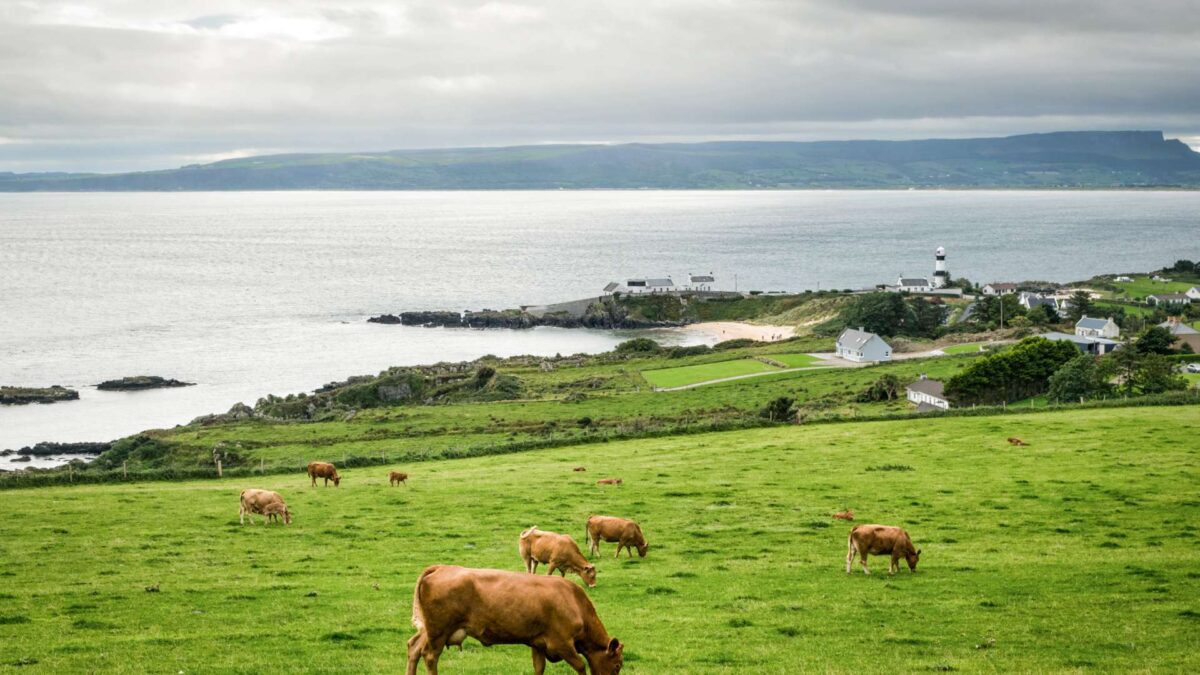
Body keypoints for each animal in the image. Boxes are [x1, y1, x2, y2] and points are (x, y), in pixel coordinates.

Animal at [406, 565, 623, 675]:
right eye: (618, 665)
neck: (574, 601)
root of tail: (442, 567)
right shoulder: (562, 643)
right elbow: (580, 666)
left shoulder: (538, 643)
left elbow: (539, 668)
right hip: (439, 631)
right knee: (430, 656)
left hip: (430, 630)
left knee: (414, 648)